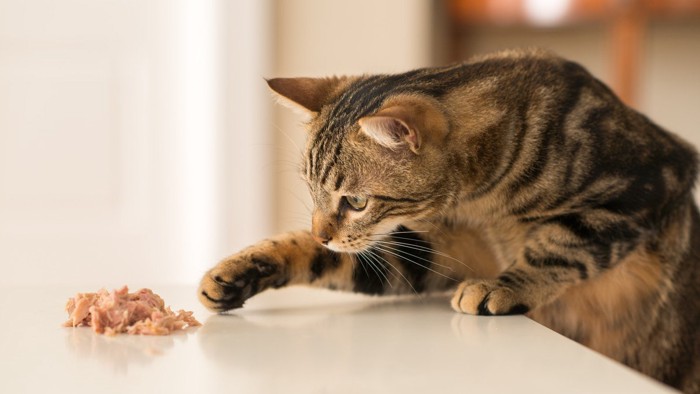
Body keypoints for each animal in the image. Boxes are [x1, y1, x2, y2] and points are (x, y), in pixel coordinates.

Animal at [198, 48, 700, 390]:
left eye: (356, 201)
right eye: (310, 189)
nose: (322, 234)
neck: (482, 204)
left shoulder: (643, 187)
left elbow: (559, 247)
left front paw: (502, 286)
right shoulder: (437, 252)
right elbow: (329, 262)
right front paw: (238, 272)